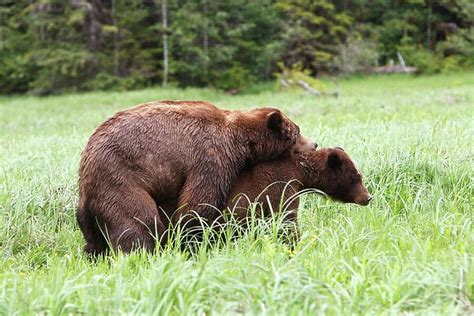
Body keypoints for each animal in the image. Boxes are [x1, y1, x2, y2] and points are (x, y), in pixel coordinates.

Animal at [76, 101, 312, 254]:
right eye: (296, 132)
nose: (314, 143)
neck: (240, 140)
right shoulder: (211, 156)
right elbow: (198, 203)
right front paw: (191, 238)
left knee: (94, 240)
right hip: (119, 180)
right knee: (139, 223)